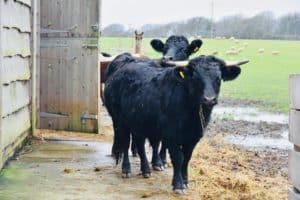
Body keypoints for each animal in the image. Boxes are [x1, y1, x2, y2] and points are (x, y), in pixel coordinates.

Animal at [103, 53, 246, 194]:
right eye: (195, 78)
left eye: (218, 78)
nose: (209, 99)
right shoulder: (171, 136)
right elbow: (178, 158)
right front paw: (178, 184)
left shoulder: (193, 137)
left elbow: (187, 158)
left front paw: (185, 181)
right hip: (121, 122)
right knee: (125, 143)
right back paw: (126, 169)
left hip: (139, 123)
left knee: (140, 144)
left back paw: (146, 170)